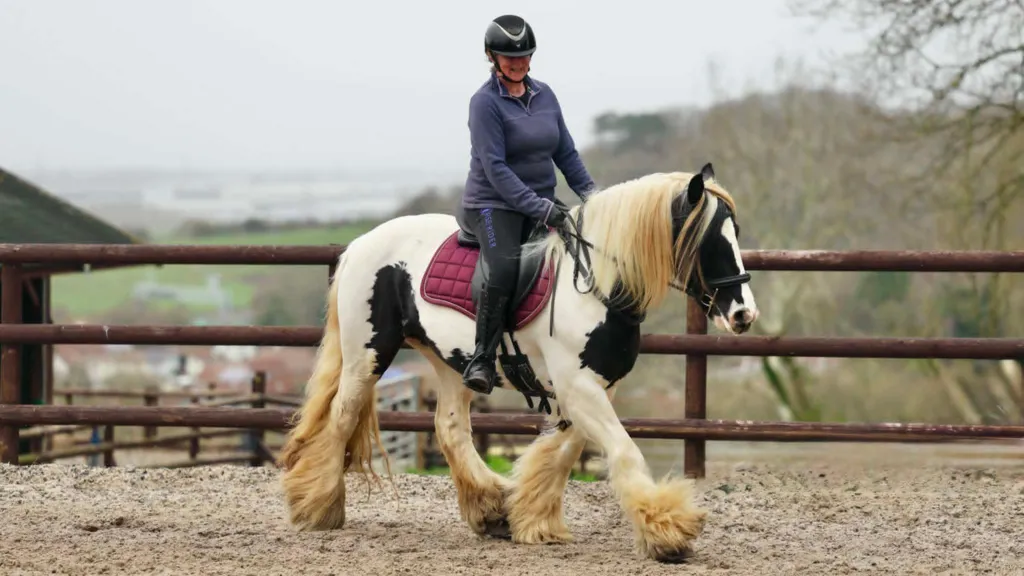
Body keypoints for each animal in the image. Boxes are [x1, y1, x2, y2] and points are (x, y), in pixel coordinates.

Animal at [277, 163, 759, 563]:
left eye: (736, 232)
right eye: (710, 240)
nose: (743, 315)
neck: (596, 284)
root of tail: (359, 245)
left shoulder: (590, 388)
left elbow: (562, 450)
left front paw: (531, 518)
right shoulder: (578, 388)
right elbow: (622, 452)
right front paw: (667, 531)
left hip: (451, 365)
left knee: (450, 429)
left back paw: (489, 511)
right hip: (367, 355)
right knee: (341, 417)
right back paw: (317, 507)